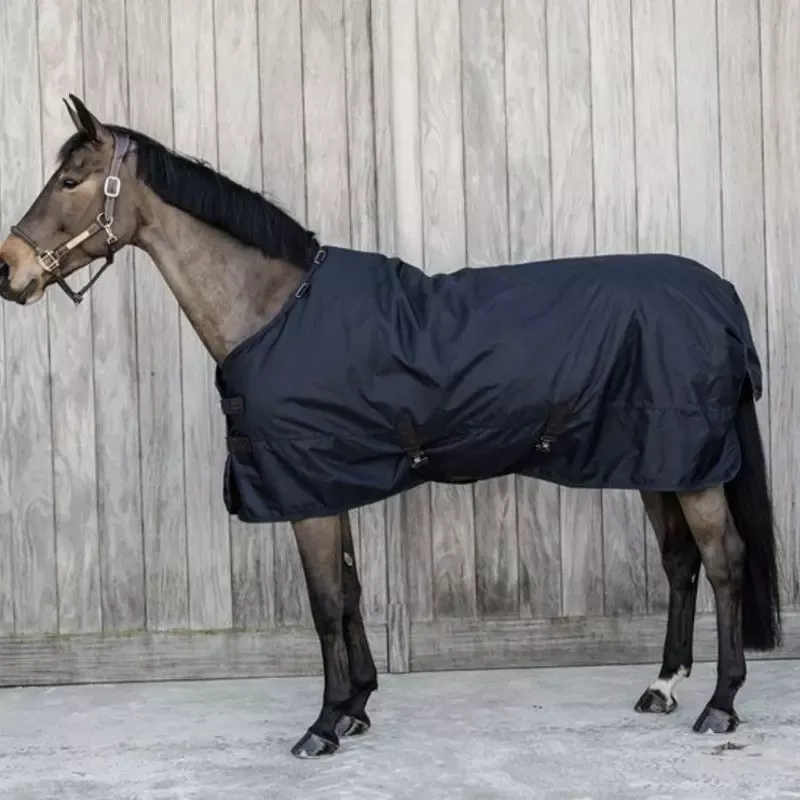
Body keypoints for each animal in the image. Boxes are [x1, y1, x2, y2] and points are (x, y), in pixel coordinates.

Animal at [0, 95, 782, 759]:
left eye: (70, 179)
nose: (8, 270)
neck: (276, 311)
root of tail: (719, 294)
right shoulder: (325, 484)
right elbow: (349, 593)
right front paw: (356, 707)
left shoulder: (305, 493)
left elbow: (323, 605)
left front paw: (322, 725)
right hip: (657, 462)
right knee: (680, 564)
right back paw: (662, 688)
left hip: (691, 468)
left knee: (724, 562)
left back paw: (720, 705)